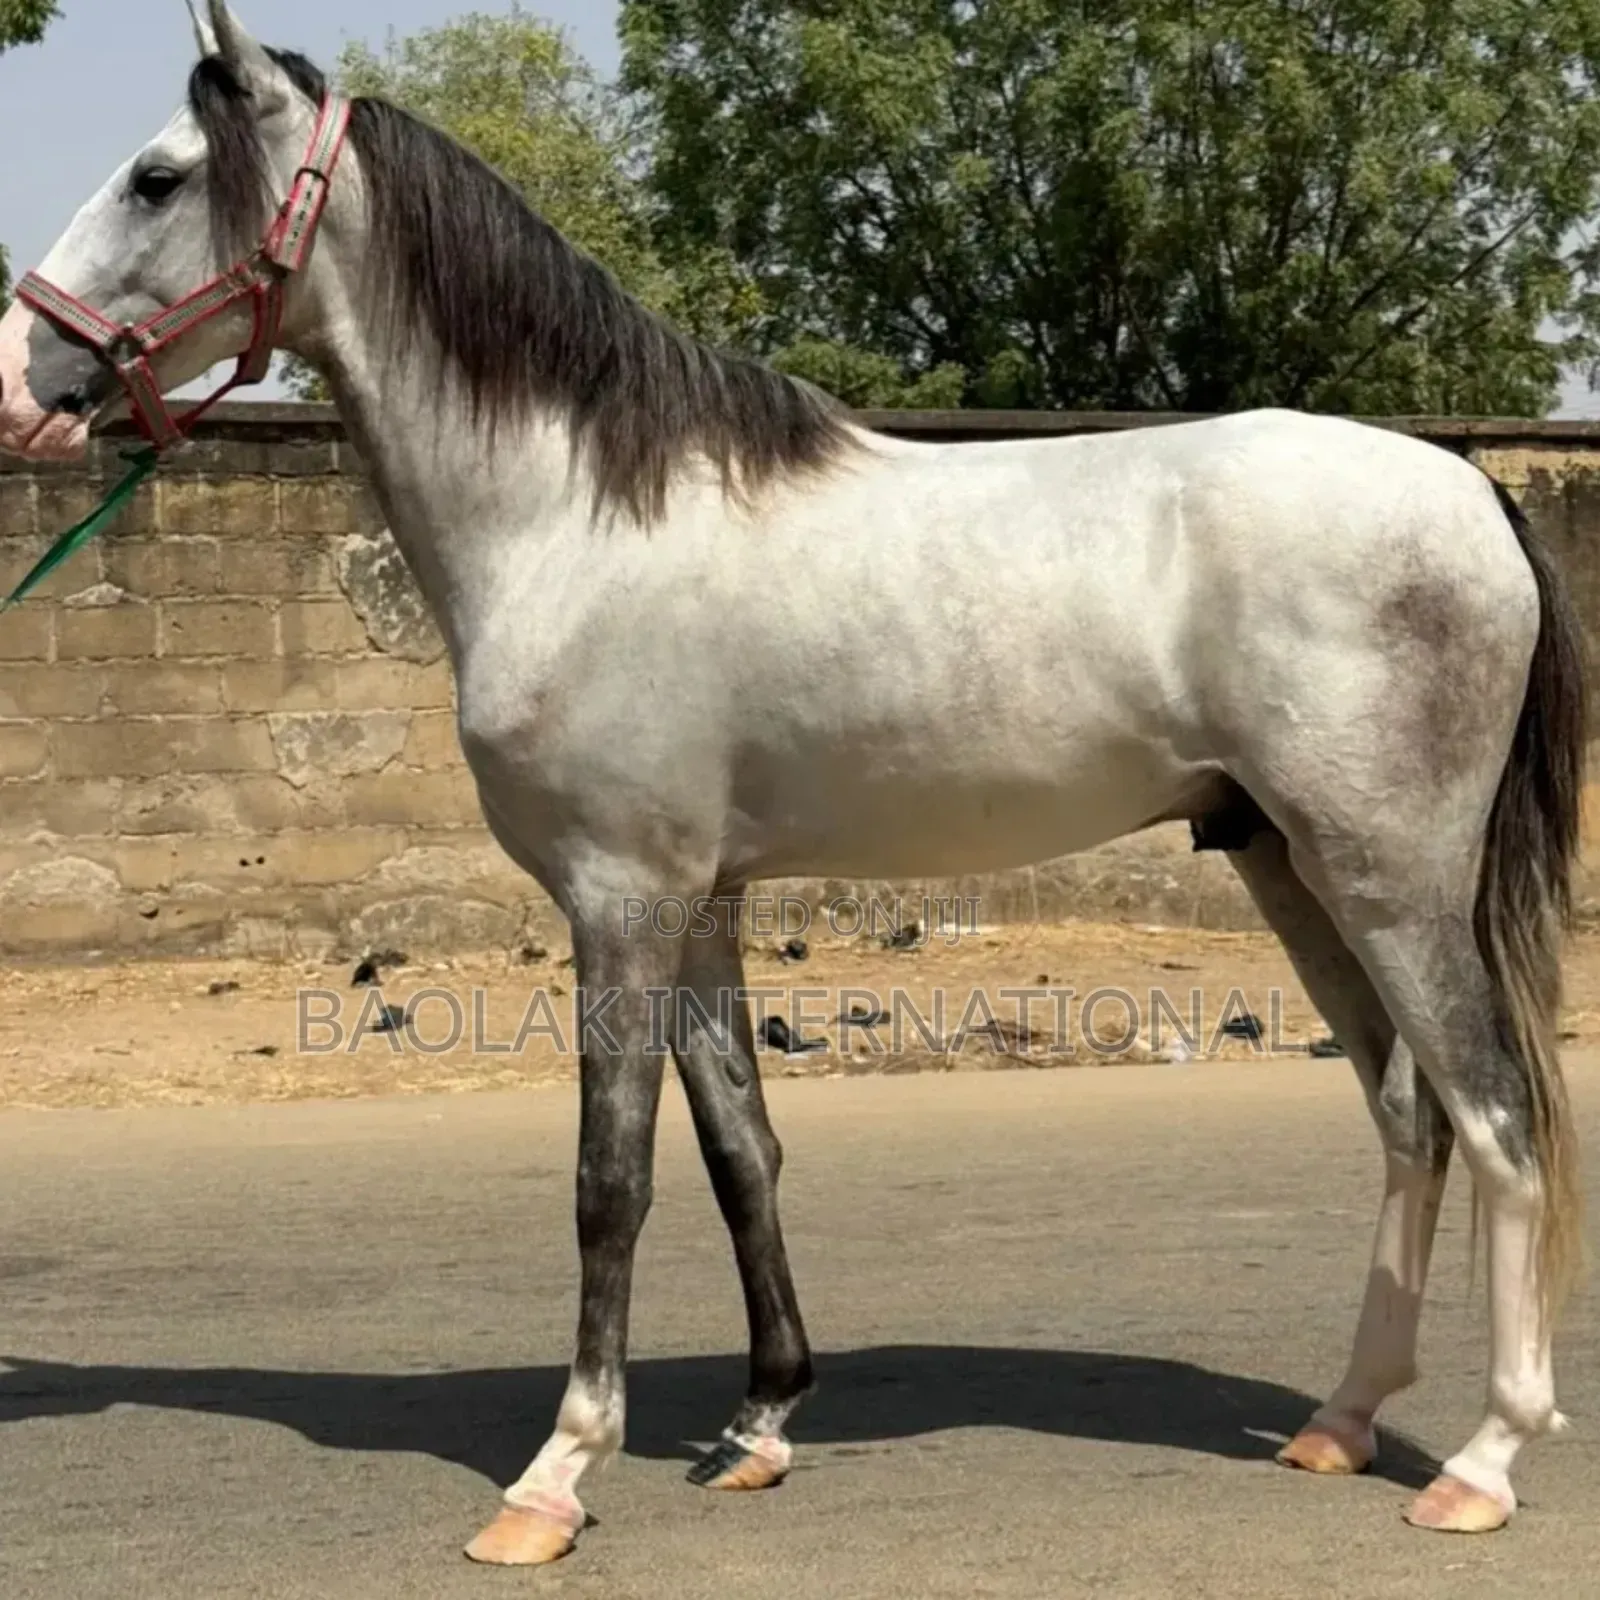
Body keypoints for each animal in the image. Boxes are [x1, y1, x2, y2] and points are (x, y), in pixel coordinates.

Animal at [0, 1, 1585, 1567]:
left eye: (157, 178)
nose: (25, 383)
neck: (577, 518)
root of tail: (1470, 492)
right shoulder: (699, 904)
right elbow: (739, 1151)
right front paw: (761, 1422)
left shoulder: (620, 901)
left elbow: (611, 1181)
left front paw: (556, 1474)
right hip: (1291, 868)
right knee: (1411, 1120)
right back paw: (1344, 1419)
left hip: (1392, 881)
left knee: (1499, 1116)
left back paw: (1486, 1459)